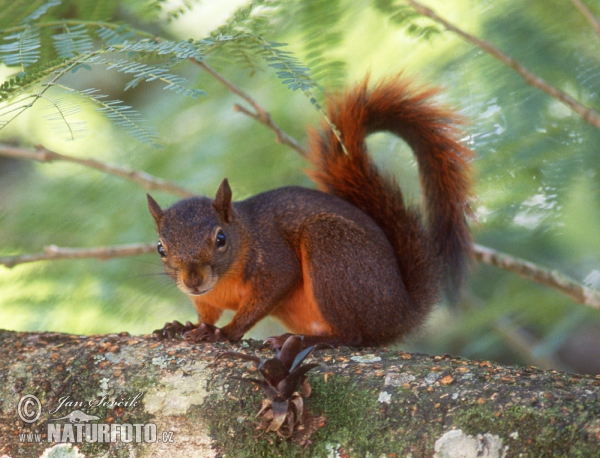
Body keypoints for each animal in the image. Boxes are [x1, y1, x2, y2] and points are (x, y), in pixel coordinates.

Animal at [146, 76, 474, 348]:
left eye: (221, 239)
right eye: (161, 248)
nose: (193, 281)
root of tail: (402, 312)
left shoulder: (274, 262)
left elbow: (271, 290)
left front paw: (226, 332)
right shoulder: (205, 300)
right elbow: (206, 314)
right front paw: (182, 326)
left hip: (332, 252)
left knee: (353, 337)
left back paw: (307, 341)